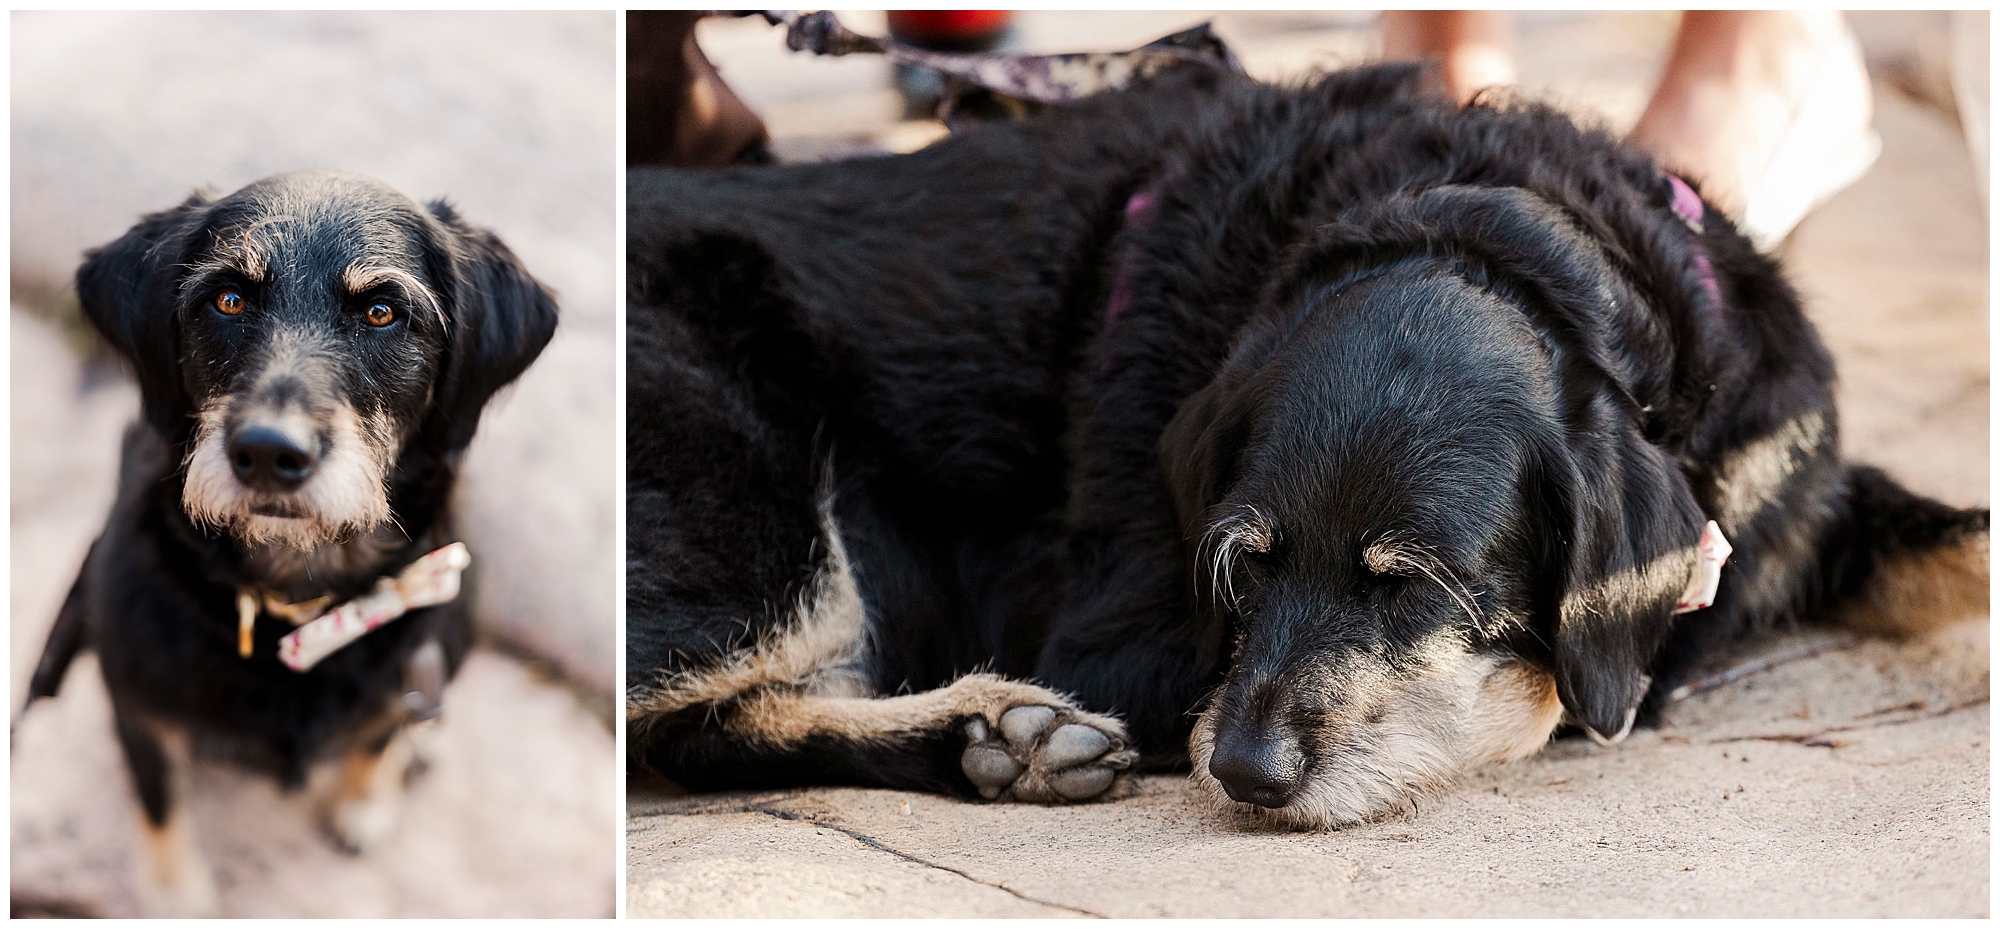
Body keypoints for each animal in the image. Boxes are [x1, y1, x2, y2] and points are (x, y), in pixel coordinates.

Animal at [25, 170, 564, 908]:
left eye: (382, 312)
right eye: (227, 299)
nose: (267, 452)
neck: (297, 611)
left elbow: (379, 731)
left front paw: (366, 800)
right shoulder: (135, 702)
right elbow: (158, 796)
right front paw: (175, 893)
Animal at [624, 65, 1984, 828]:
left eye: (1415, 585)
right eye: (1244, 565)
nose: (1244, 768)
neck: (1510, 227)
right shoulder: (1123, 640)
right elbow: (1551, 693)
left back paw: (990, 742)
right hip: (756, 525)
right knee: (678, 721)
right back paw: (995, 726)